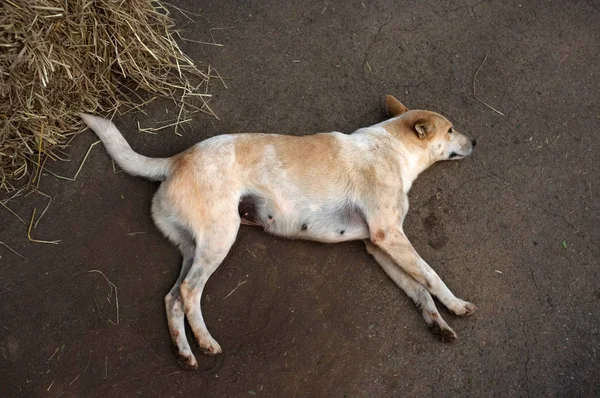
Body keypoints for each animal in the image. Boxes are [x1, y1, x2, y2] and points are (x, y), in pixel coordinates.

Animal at [78, 95, 478, 368]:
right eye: (451, 130)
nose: (476, 142)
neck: (393, 148)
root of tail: (175, 160)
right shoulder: (389, 236)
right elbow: (432, 277)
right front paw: (457, 306)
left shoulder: (378, 245)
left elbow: (418, 289)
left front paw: (437, 324)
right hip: (221, 237)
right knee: (190, 291)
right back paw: (206, 343)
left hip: (193, 247)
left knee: (172, 297)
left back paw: (185, 353)